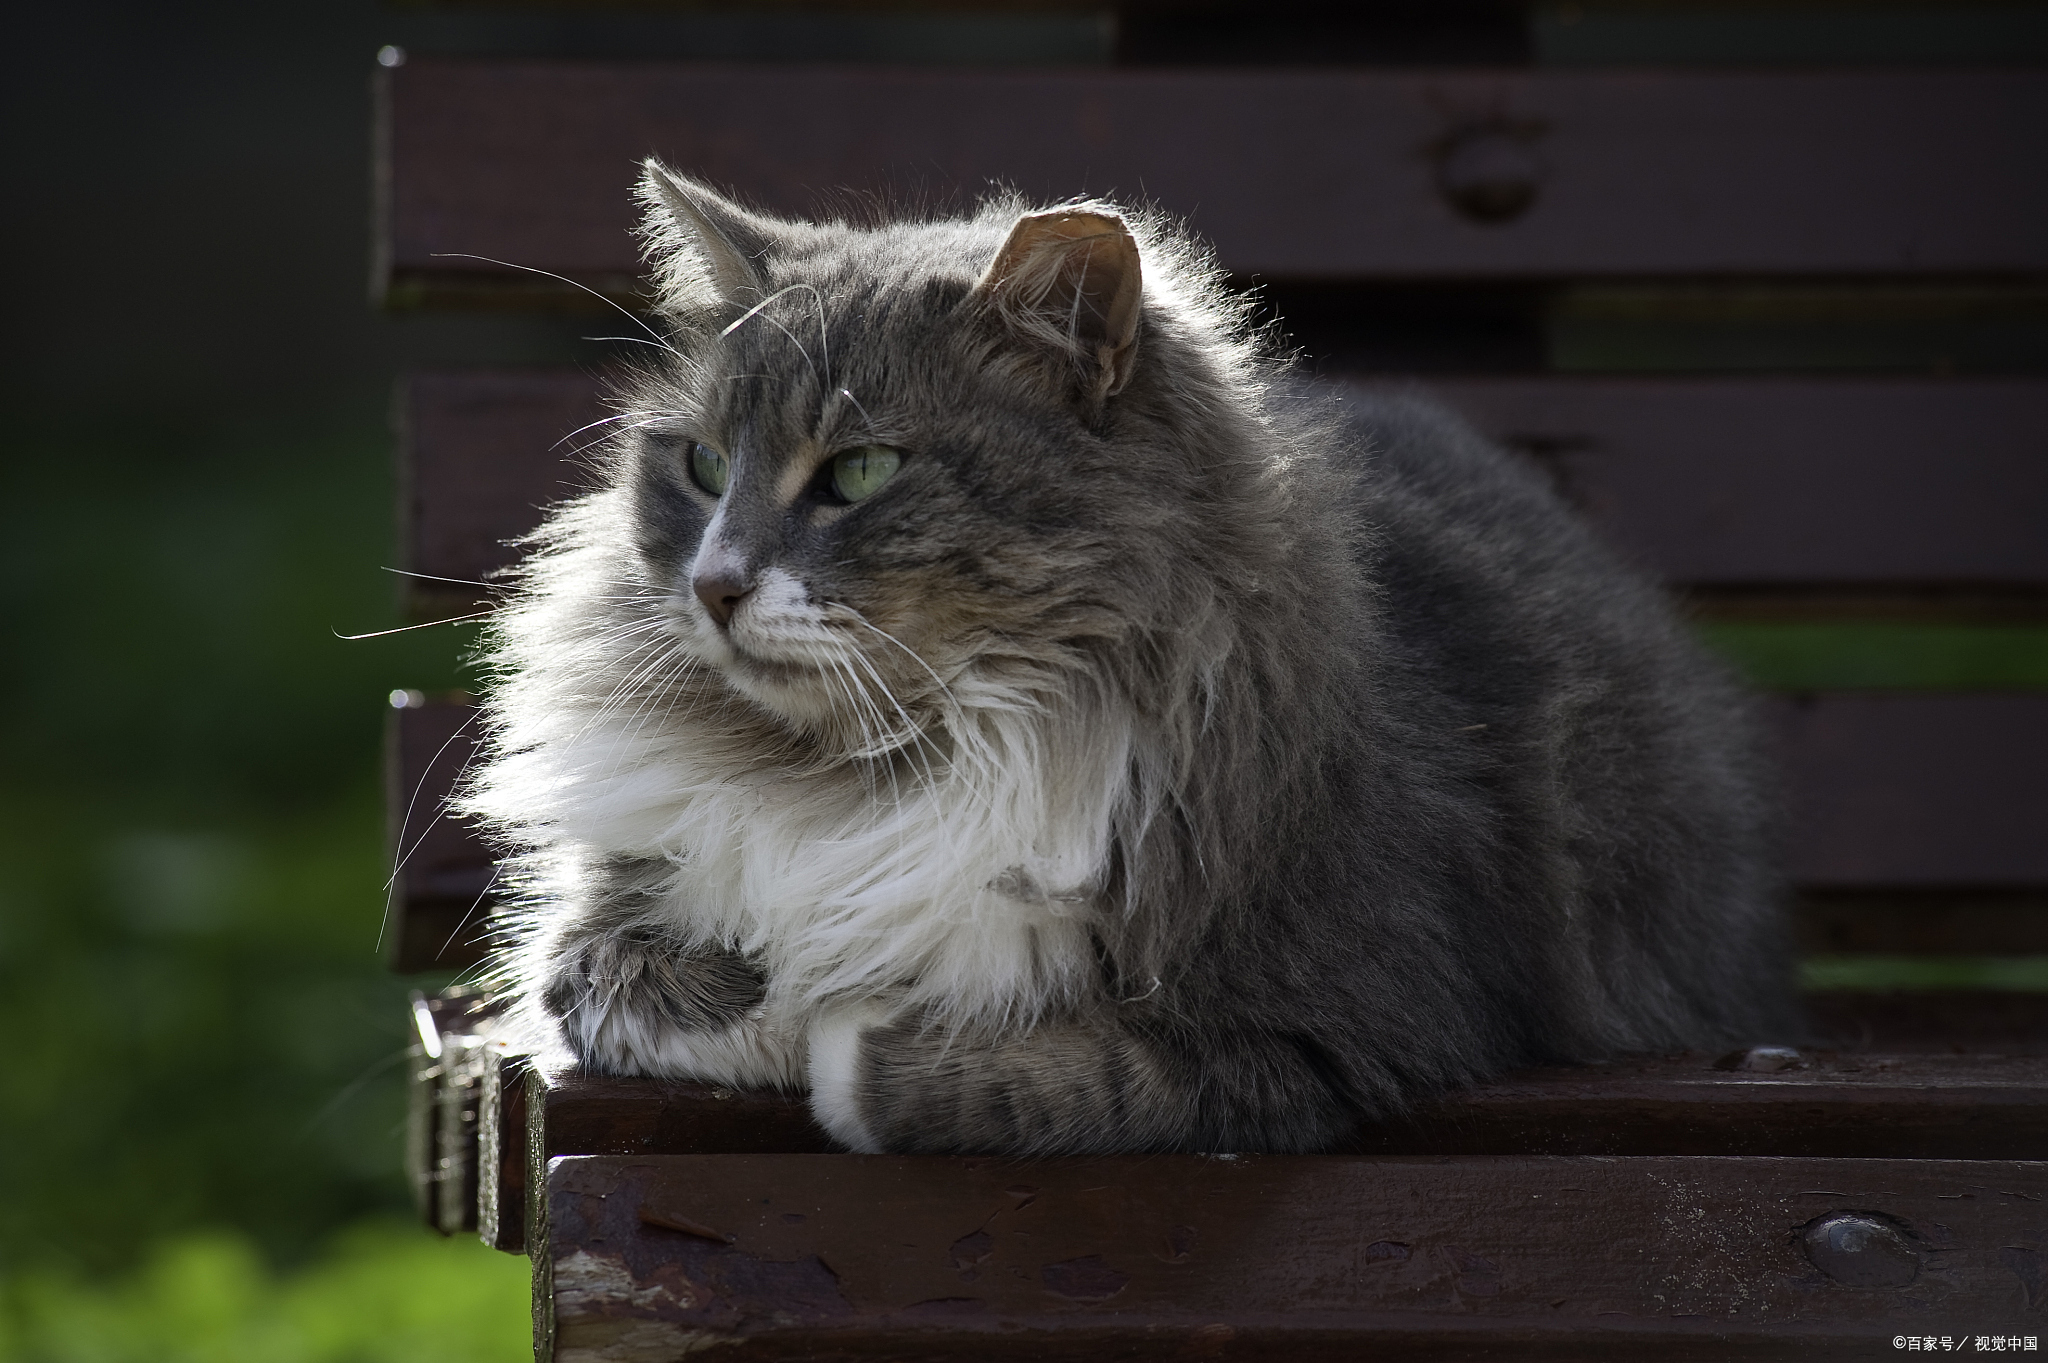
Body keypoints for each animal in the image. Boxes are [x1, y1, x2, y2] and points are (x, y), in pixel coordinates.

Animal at [464, 161, 1794, 1154]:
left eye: (856, 473)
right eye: (698, 466)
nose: (714, 584)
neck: (901, 760)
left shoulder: (1337, 1030)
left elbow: (941, 1070)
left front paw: (838, 1018)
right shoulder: (604, 914)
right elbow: (600, 977)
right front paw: (774, 1000)